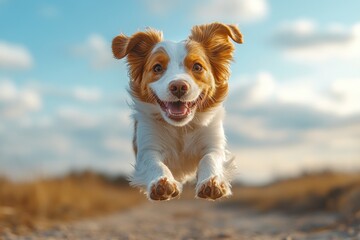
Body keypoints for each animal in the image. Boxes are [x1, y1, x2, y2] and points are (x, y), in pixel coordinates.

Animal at [111, 22, 243, 201]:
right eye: (157, 68)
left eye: (197, 66)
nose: (179, 86)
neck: (181, 128)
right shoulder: (148, 147)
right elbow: (155, 164)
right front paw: (162, 183)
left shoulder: (214, 143)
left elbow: (210, 158)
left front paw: (211, 183)